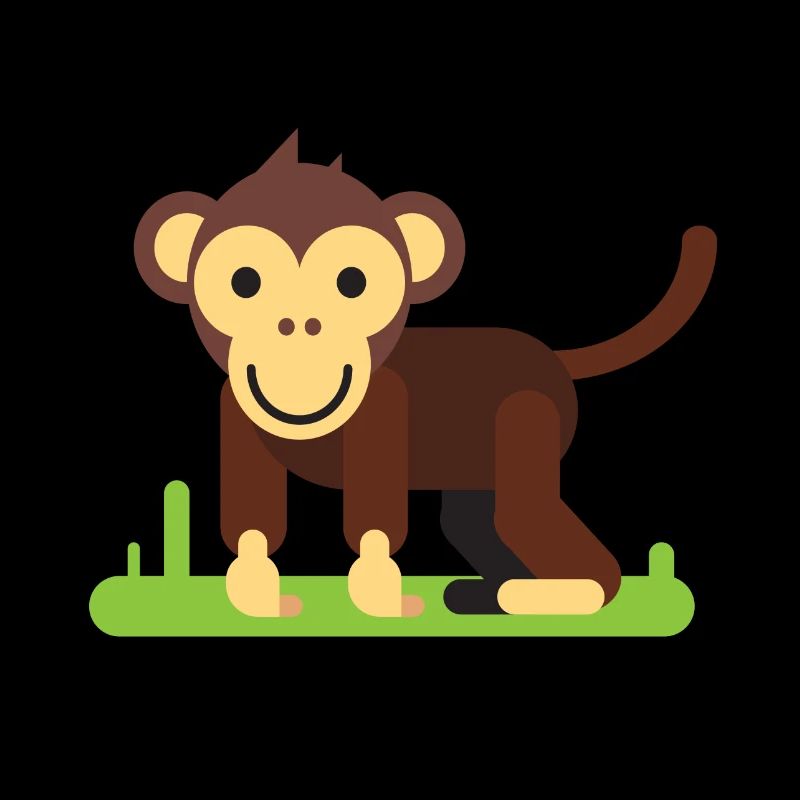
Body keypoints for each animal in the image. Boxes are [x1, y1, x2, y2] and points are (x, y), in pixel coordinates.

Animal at [134, 131, 716, 618]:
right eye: (244, 281)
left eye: (353, 281)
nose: (299, 322)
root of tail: (551, 355)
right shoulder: (234, 414)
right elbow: (252, 516)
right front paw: (259, 600)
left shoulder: (385, 419)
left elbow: (374, 518)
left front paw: (379, 601)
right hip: (476, 478)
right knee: (474, 524)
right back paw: (483, 598)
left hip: (524, 430)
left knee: (585, 561)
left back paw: (535, 597)